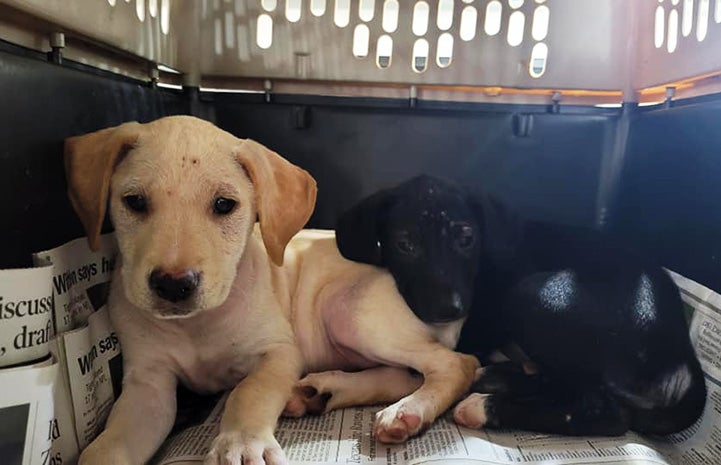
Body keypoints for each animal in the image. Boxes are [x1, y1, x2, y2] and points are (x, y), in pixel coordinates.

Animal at [64, 117, 476, 464]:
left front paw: (242, 443)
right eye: (134, 201)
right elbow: (110, 443)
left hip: (349, 310)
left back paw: (409, 410)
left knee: (456, 364)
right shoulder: (147, 385)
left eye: (224, 205)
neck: (197, 325)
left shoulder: (279, 352)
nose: (174, 284)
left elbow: (250, 391)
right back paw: (321, 392)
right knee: (404, 374)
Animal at [310, 176, 704, 436]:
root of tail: (684, 353)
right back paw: (494, 378)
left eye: (467, 238)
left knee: (605, 412)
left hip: (532, 293)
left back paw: (483, 407)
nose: (450, 310)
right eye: (404, 244)